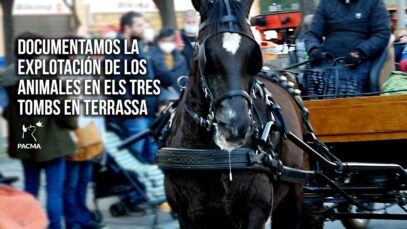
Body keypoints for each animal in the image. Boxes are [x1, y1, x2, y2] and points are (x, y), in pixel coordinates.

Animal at [164, 0, 308, 228]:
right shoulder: (187, 215)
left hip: (295, 191)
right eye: (205, 55)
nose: (234, 126)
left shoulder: (255, 210)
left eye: (253, 56)